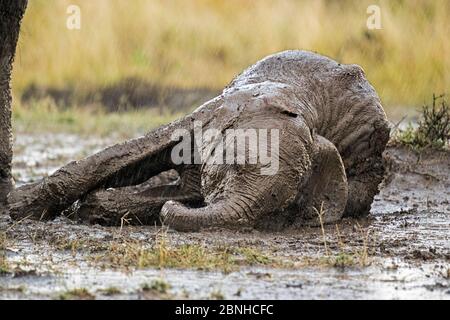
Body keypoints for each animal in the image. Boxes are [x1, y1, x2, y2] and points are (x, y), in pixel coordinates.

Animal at [8, 50, 392, 231]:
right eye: (234, 167)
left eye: (286, 204)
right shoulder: (212, 112)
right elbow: (133, 151)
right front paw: (18, 208)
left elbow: (185, 193)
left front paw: (94, 206)